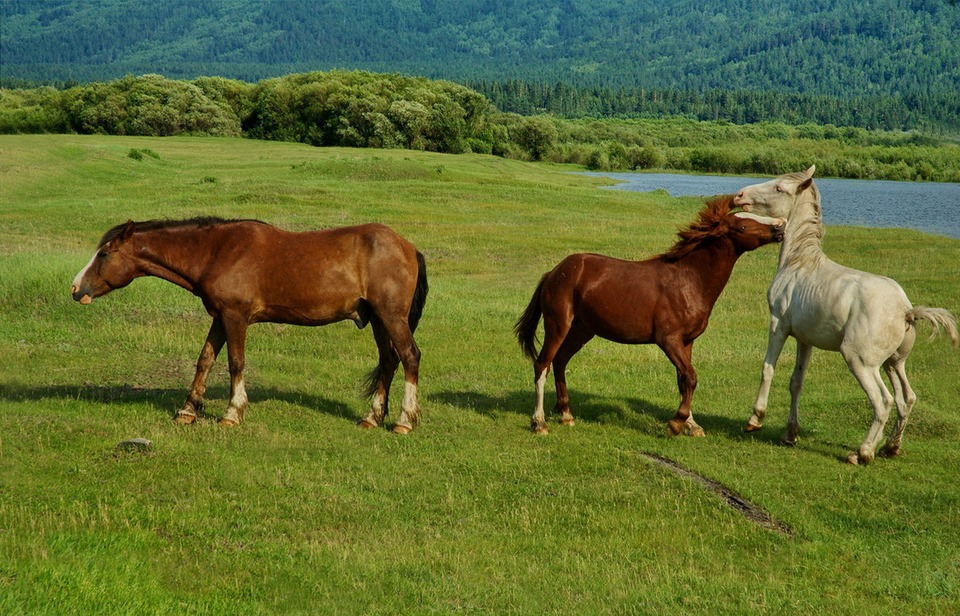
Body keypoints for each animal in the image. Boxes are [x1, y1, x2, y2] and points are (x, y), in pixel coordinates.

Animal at [75, 218, 432, 434]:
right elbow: (205, 360)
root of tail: (407, 247)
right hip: (378, 320)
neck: (217, 252)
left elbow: (235, 363)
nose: (76, 288)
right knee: (389, 361)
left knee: (410, 357)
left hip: (391, 316)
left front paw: (232, 412)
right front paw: (188, 410)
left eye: (104, 254)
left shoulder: (235, 317)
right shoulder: (220, 317)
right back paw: (372, 417)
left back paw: (404, 421)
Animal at [512, 199, 784, 438]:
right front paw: (676, 424)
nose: (780, 226)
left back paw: (567, 415)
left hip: (581, 331)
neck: (689, 280)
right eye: (742, 226)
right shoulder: (668, 340)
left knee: (560, 361)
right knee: (542, 364)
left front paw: (691, 425)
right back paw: (539, 423)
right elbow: (690, 377)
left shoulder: (687, 341)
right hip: (558, 325)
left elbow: (684, 380)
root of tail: (553, 272)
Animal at [736, 166, 952, 464]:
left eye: (779, 188)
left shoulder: (778, 325)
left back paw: (862, 453)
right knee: (905, 398)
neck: (799, 262)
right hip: (893, 363)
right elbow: (796, 382)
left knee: (883, 401)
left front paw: (755, 419)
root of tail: (905, 310)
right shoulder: (805, 339)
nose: (739, 195)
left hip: (860, 362)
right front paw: (790, 434)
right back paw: (889, 448)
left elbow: (768, 368)